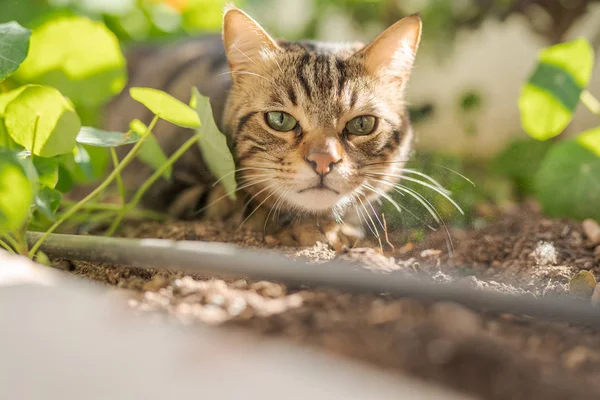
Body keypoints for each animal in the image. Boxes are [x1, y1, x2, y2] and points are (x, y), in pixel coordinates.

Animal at [106, 5, 422, 250]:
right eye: (280, 120)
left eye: (361, 124)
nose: (323, 160)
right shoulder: (164, 187)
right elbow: (241, 205)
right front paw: (311, 229)